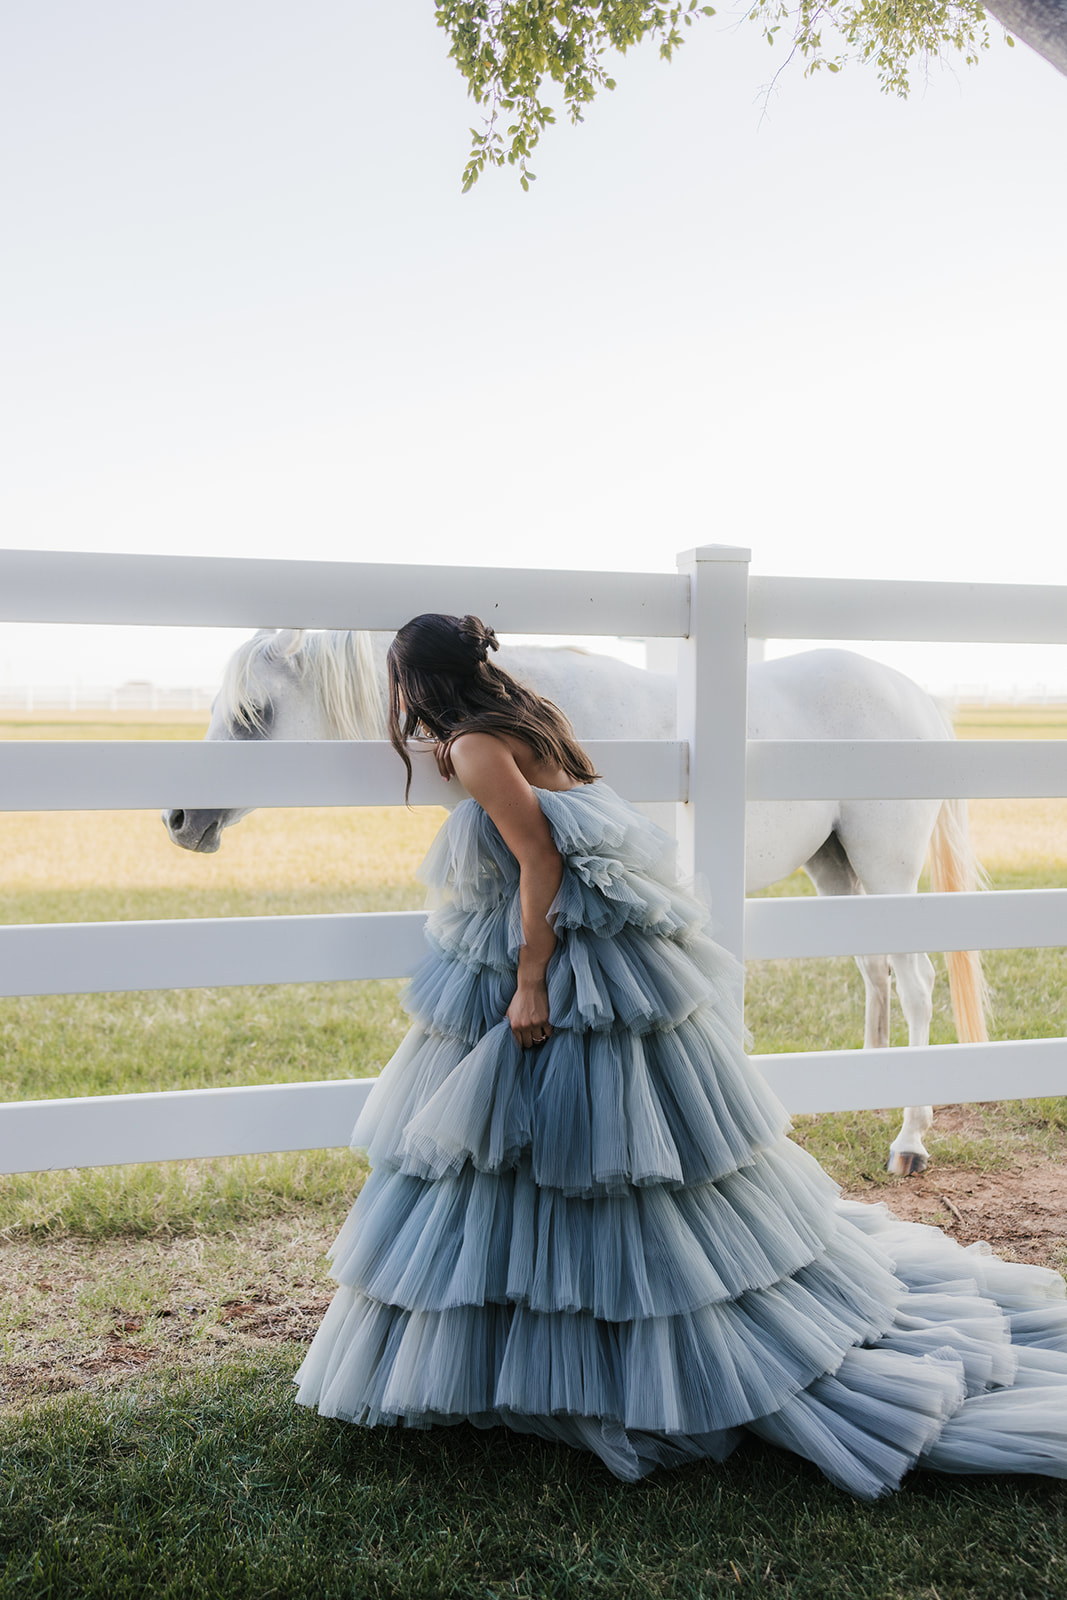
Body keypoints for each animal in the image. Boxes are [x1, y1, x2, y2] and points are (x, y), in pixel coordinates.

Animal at [163, 633, 991, 1177]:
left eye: (255, 713)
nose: (178, 819)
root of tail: (915, 696)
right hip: (835, 866)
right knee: (874, 969)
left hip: (886, 866)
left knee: (915, 981)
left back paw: (910, 1138)